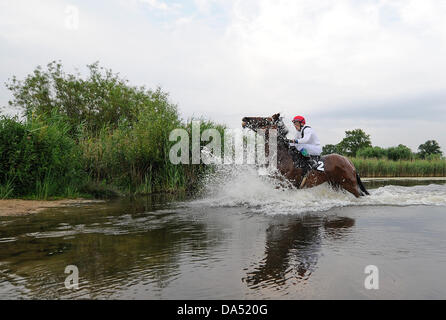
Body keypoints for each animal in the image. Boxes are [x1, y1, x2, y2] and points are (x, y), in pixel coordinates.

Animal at [240, 112, 370, 198]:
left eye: (265, 119)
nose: (245, 118)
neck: (282, 157)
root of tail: (349, 162)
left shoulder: (284, 184)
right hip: (335, 184)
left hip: (349, 184)